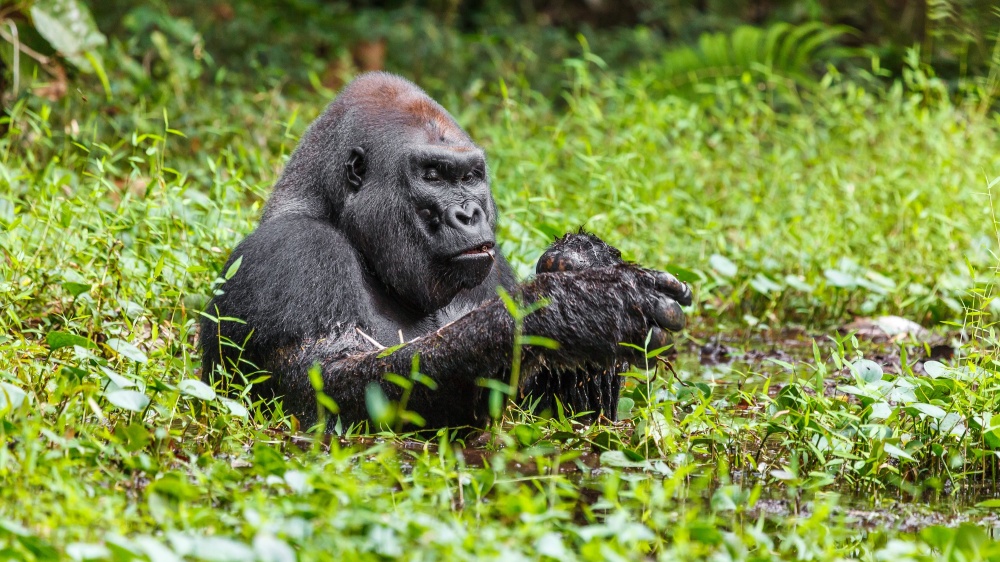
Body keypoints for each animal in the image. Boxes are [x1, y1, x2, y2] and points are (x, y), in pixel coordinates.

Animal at [199, 71, 692, 428]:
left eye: (470, 176)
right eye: (433, 175)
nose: (469, 214)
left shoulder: (494, 265)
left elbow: (570, 418)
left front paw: (581, 260)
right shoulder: (293, 255)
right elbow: (327, 390)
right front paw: (564, 311)